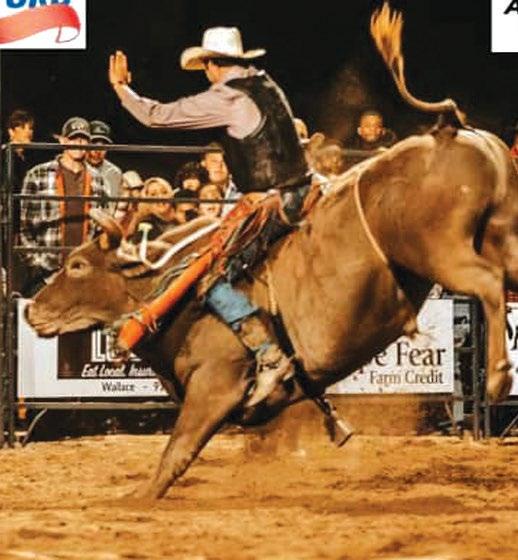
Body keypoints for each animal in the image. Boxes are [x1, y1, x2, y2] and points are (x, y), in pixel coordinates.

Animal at [26, 3, 518, 499]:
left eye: (77, 265)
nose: (31, 310)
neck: (168, 289)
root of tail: (447, 130)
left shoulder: (215, 385)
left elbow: (178, 450)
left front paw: (140, 496)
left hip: (440, 251)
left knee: (487, 283)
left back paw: (498, 375)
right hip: (502, 236)